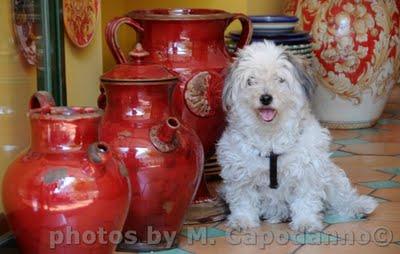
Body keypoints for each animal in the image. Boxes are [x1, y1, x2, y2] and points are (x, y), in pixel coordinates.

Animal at [217, 41, 376, 232]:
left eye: (280, 79)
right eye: (251, 80)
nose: (265, 98)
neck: (271, 137)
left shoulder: (307, 171)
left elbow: (306, 200)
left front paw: (306, 222)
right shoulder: (241, 174)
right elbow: (243, 200)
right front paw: (243, 220)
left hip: (331, 177)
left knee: (341, 196)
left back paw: (358, 206)